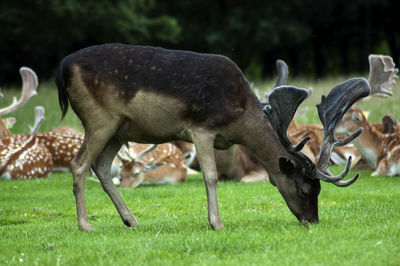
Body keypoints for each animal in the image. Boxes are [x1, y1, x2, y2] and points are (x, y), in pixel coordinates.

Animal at [55, 43, 368, 231]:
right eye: (305, 189)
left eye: (318, 190)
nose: (312, 220)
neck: (240, 119)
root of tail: (63, 68)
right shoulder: (201, 128)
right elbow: (211, 176)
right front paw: (216, 222)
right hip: (98, 119)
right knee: (79, 165)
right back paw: (85, 225)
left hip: (120, 128)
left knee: (102, 166)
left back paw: (131, 220)